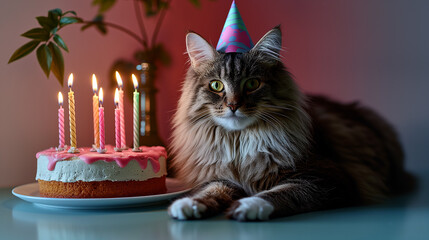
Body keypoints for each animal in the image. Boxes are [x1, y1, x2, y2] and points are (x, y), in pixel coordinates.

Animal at [167, 26, 412, 221]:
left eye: (252, 84)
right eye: (216, 85)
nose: (234, 105)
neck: (241, 144)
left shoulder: (327, 178)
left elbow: (281, 193)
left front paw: (247, 206)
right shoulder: (223, 178)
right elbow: (210, 191)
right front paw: (188, 205)